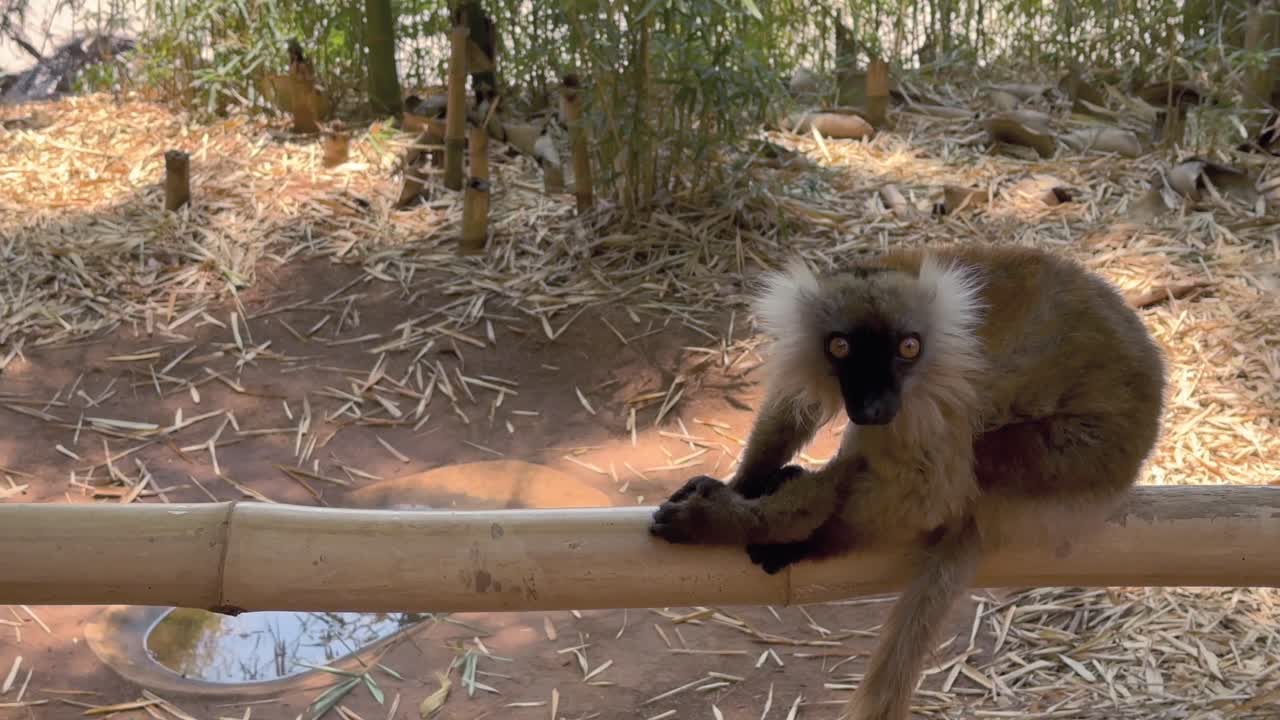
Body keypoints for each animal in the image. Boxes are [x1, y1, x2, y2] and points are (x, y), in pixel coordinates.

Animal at [649, 244, 1166, 720]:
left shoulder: (928, 403)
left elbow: (930, 494)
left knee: (960, 464)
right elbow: (795, 405)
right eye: (840, 347)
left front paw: (752, 527)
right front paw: (747, 480)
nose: (875, 404)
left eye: (908, 348)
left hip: (1076, 460)